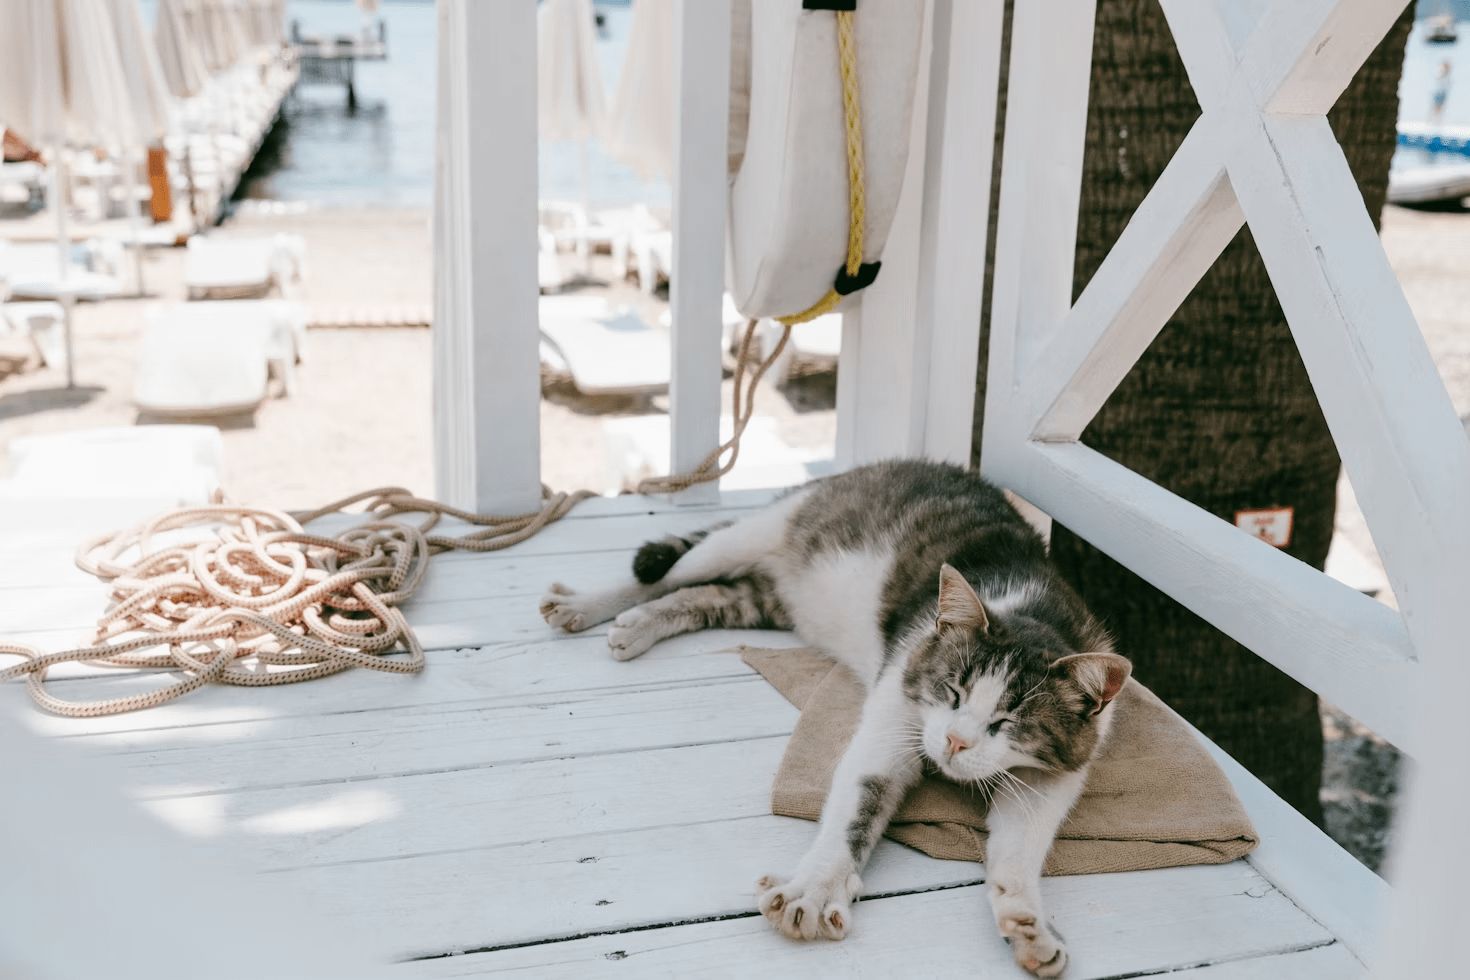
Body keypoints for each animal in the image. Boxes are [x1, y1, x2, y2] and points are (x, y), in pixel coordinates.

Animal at [540, 461, 1123, 980]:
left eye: (1008, 722)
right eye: (951, 690)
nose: (956, 742)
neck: (1034, 609)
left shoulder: (1056, 773)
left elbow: (1020, 846)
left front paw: (1027, 922)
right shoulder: (893, 717)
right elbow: (857, 808)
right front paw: (818, 889)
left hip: (766, 598)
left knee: (707, 595)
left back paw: (642, 623)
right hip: (756, 534)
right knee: (665, 574)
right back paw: (592, 607)